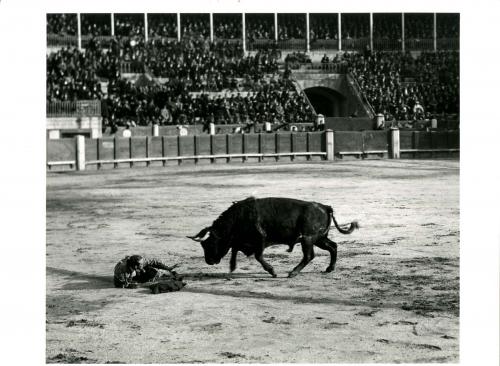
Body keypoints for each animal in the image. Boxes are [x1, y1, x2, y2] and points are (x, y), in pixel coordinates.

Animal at [186, 197, 358, 278]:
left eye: (210, 244)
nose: (209, 261)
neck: (238, 219)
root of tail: (325, 207)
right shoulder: (242, 242)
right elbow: (234, 250)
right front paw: (232, 267)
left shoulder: (259, 241)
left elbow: (258, 256)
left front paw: (272, 271)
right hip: (319, 238)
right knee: (333, 246)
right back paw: (329, 269)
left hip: (309, 238)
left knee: (309, 255)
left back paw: (293, 273)